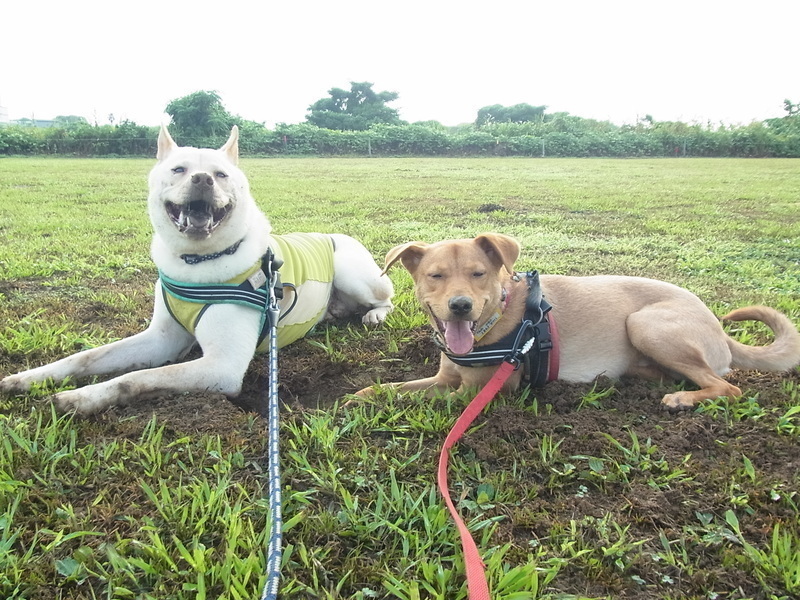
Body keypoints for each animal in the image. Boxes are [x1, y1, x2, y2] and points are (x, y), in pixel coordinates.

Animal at [1, 125, 394, 414]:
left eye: (221, 174)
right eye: (179, 169)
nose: (203, 179)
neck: (196, 260)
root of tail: (332, 233)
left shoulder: (221, 367)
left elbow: (135, 378)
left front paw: (82, 397)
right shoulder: (162, 339)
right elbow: (85, 357)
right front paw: (28, 378)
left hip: (354, 272)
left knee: (387, 296)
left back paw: (374, 315)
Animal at [357, 233, 800, 409]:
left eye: (478, 273)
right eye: (436, 276)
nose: (461, 306)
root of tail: (719, 328)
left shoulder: (475, 392)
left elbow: (417, 398)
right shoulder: (444, 377)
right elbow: (391, 388)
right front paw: (359, 395)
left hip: (647, 324)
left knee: (727, 386)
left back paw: (683, 399)